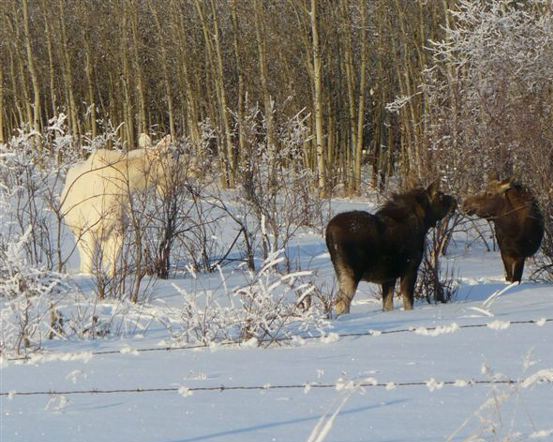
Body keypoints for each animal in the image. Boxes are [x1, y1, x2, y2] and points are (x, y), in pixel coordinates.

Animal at [326, 181, 454, 316]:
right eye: (440, 196)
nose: (455, 200)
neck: (423, 224)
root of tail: (328, 233)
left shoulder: (389, 278)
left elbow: (388, 305)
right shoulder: (410, 269)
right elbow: (408, 302)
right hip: (351, 273)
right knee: (342, 303)